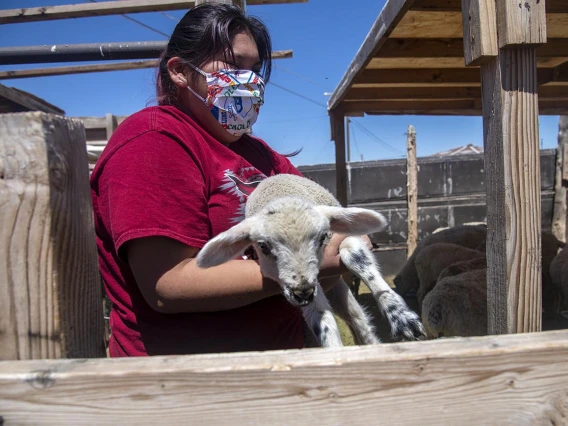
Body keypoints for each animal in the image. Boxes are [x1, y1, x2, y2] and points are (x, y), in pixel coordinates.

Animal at [197, 175, 424, 348]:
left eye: (323, 237)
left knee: (360, 324)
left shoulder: (343, 239)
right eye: (262, 246)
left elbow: (357, 259)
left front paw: (402, 317)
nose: (303, 292)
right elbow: (319, 317)